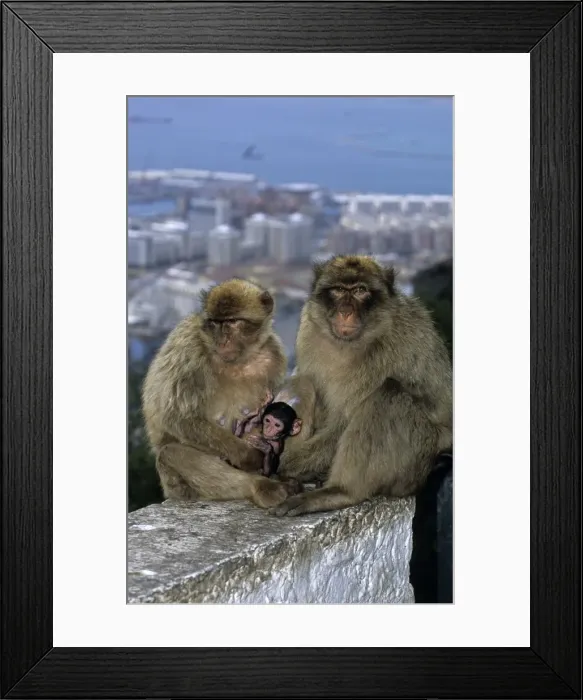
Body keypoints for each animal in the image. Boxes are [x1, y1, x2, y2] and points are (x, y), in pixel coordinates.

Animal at [141, 278, 302, 509]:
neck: (238, 359)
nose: (222, 341)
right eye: (216, 323)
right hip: (174, 485)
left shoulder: (274, 353)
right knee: (172, 453)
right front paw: (250, 456)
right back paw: (261, 486)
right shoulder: (188, 348)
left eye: (232, 321)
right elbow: (178, 417)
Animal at [270, 254, 453, 517]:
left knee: (389, 395)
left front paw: (281, 465)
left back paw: (339, 492)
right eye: (338, 290)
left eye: (360, 291)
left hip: (414, 464)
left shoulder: (393, 344)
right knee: (304, 381)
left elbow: (342, 423)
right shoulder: (308, 326)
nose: (346, 311)